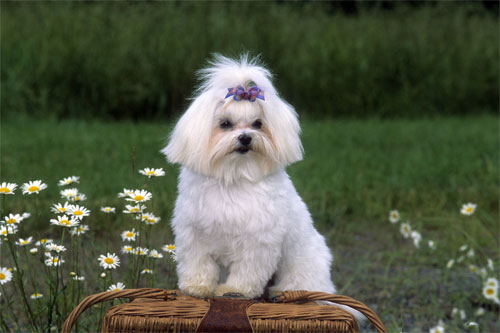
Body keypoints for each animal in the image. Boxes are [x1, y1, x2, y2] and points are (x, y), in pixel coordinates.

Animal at [162, 53, 354, 312]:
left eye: (257, 124)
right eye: (224, 124)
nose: (245, 138)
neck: (235, 176)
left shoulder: (258, 242)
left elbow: (247, 271)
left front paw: (235, 291)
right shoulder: (193, 233)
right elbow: (198, 263)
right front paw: (197, 287)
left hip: (301, 267)